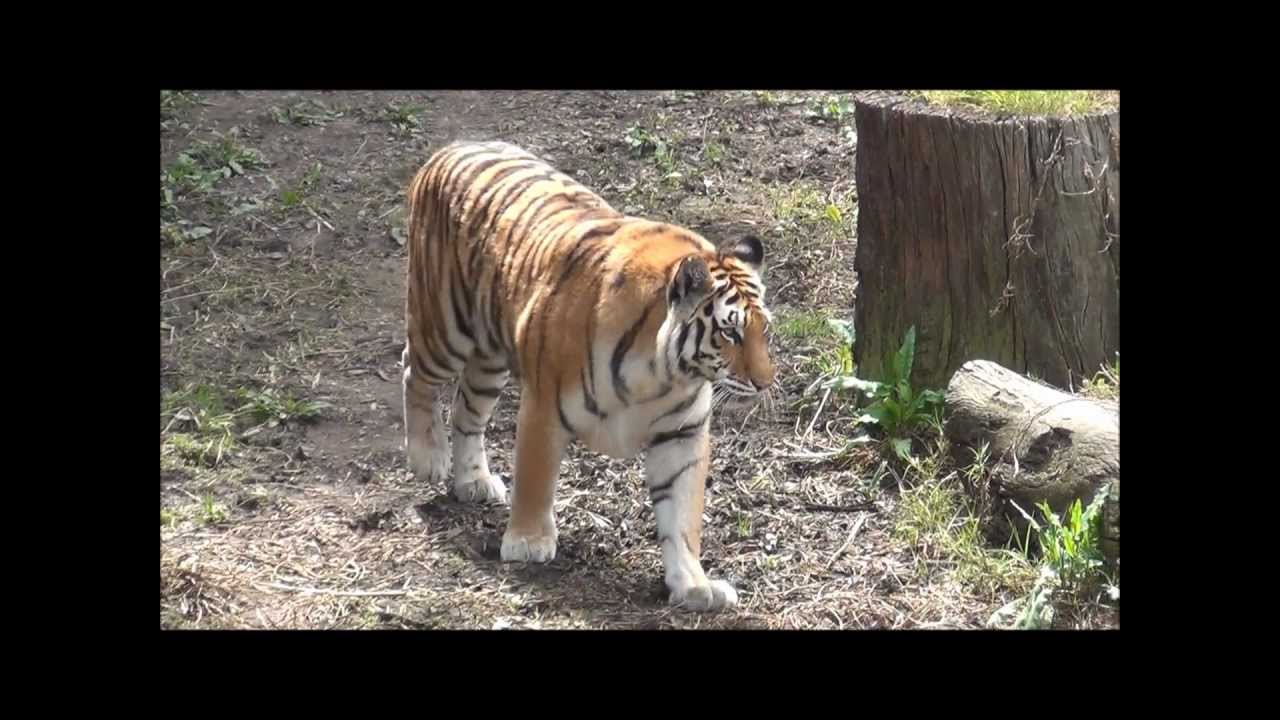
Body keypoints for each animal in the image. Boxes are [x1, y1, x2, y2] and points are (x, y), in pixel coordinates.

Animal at [401, 140, 776, 612]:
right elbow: (535, 479)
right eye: (730, 331)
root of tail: (455, 146)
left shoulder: (682, 434)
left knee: (467, 411)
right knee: (414, 372)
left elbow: (683, 514)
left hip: (489, 357)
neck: (661, 375)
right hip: (444, 328)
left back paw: (475, 481)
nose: (765, 383)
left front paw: (694, 585)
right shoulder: (543, 409)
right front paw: (528, 542)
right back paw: (427, 457)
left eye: (764, 331)